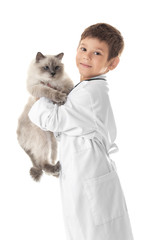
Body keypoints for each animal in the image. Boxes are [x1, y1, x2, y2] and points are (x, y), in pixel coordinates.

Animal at [17, 51, 74, 181]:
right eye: (46, 67)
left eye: (57, 67)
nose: (52, 73)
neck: (51, 82)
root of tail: (18, 136)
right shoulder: (37, 87)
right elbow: (48, 91)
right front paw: (59, 98)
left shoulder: (67, 83)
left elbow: (65, 90)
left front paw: (61, 99)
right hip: (44, 140)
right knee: (42, 164)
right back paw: (56, 168)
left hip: (52, 143)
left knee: (45, 165)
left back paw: (57, 172)